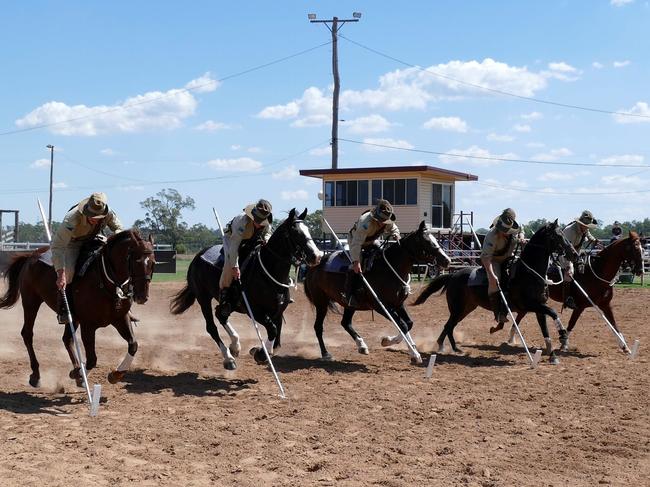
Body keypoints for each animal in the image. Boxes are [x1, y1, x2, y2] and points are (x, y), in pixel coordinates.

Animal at [0, 232, 154, 388]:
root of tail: (31, 256)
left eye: (153, 263)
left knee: (67, 339)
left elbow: (133, 345)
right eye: (136, 261)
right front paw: (79, 374)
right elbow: (92, 359)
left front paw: (115, 374)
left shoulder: (121, 318)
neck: (105, 282)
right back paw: (36, 376)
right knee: (27, 334)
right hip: (31, 302)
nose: (142, 296)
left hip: (71, 317)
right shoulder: (88, 325)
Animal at [170, 208, 322, 372]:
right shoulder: (255, 311)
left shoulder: (278, 312)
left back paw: (235, 346)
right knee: (211, 327)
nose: (317, 256)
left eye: (308, 230)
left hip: (228, 304)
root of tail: (197, 257)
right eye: (296, 233)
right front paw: (260, 354)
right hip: (203, 298)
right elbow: (273, 330)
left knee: (221, 315)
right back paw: (228, 358)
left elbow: (277, 338)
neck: (268, 273)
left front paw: (259, 351)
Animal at [302, 221, 446, 362]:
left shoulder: (398, 304)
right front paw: (406, 350)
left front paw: (408, 348)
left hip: (350, 305)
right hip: (321, 302)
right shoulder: (381, 306)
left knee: (345, 323)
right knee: (318, 327)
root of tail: (313, 266)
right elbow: (403, 325)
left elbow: (408, 324)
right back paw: (325, 353)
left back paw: (362, 346)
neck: (389, 268)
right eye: (427, 241)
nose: (446, 260)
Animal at [412, 223, 576, 364]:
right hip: (457, 308)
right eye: (558, 235)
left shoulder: (539, 307)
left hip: (466, 309)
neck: (528, 273)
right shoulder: (530, 305)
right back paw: (447, 348)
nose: (573, 253)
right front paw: (563, 335)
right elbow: (553, 312)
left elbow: (545, 329)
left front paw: (553, 355)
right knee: (448, 325)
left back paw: (450, 347)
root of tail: (453, 276)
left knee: (449, 326)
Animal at [504, 231, 640, 352]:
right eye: (634, 249)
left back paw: (511, 338)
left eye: (641, 249)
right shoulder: (580, 306)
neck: (596, 272)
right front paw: (564, 343)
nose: (640, 270)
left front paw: (624, 346)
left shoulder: (605, 305)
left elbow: (614, 325)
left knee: (521, 314)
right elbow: (571, 323)